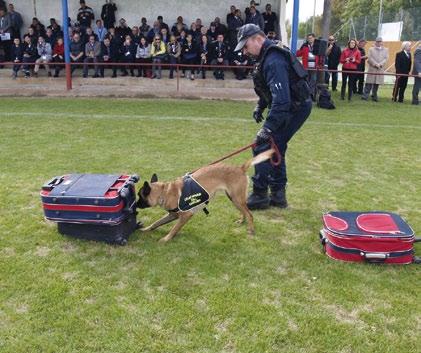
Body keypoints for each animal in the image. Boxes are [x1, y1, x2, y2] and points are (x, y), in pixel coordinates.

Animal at [136, 148, 274, 242]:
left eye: (140, 196)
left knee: (250, 214)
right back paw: (241, 220)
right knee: (244, 212)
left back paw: (251, 231)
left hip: (236, 199)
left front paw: (166, 239)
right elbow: (156, 223)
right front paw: (146, 229)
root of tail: (240, 168)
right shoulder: (172, 215)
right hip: (234, 198)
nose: (135, 205)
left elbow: (174, 229)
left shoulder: (186, 215)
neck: (165, 192)